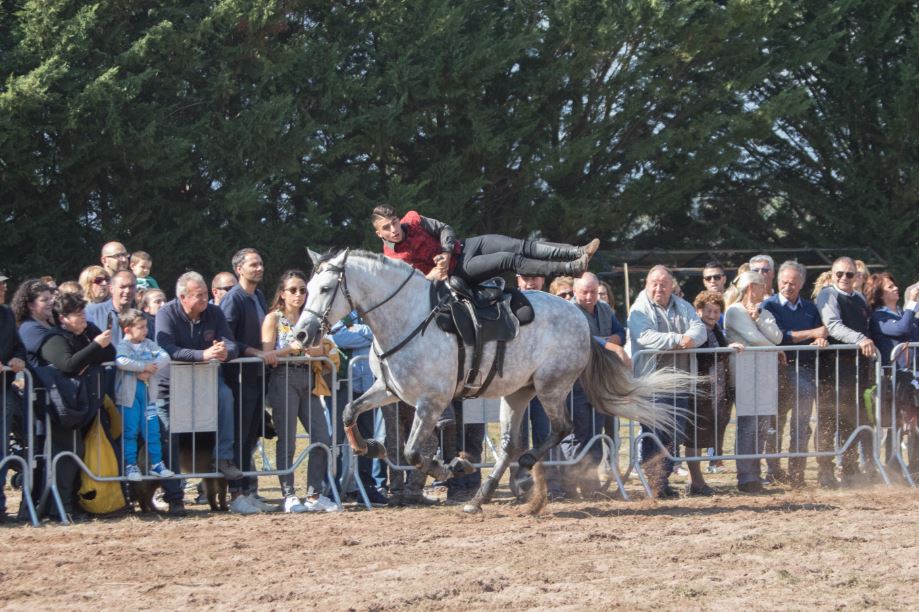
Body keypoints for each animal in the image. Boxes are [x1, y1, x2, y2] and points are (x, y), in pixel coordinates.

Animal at [298, 249, 692, 512]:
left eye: (326, 288)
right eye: (307, 287)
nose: (302, 334)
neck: (407, 317)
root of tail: (580, 315)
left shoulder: (431, 402)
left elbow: (413, 453)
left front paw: (451, 465)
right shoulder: (389, 392)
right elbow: (349, 411)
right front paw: (368, 447)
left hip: (551, 387)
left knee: (558, 430)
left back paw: (525, 470)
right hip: (518, 394)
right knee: (508, 445)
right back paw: (481, 496)